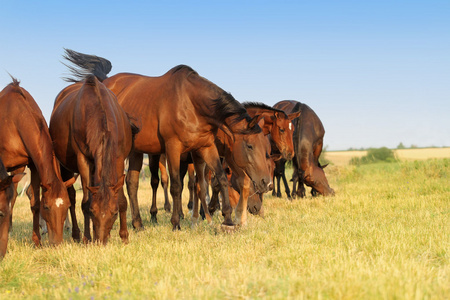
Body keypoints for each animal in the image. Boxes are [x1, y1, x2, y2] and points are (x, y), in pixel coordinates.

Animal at [0, 77, 74, 246]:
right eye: (46, 207)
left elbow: (33, 203)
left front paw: (37, 242)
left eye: (67, 205)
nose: (57, 243)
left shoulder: (32, 165)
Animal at [49, 49, 136, 244]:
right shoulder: (83, 159)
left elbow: (121, 199)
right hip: (65, 166)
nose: (101, 240)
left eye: (113, 213)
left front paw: (124, 237)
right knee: (71, 197)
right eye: (94, 212)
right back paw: (76, 234)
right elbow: (85, 202)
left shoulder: (118, 158)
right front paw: (88, 238)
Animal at [103, 65, 270, 230]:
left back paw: (138, 224)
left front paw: (227, 219)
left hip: (136, 151)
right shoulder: (174, 148)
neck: (191, 104)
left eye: (265, 147)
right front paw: (177, 222)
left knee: (132, 183)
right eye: (250, 146)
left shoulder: (206, 148)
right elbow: (177, 185)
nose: (267, 183)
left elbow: (219, 179)